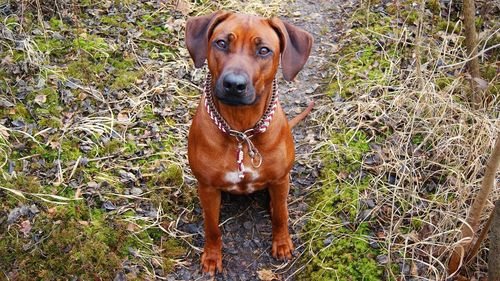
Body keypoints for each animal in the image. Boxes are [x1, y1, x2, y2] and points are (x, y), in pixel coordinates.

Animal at [186, 12, 310, 274]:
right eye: (221, 43)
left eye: (264, 50)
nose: (234, 84)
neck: (241, 131)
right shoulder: (207, 188)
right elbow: (212, 227)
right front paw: (212, 256)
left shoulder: (280, 179)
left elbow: (281, 216)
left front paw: (281, 243)